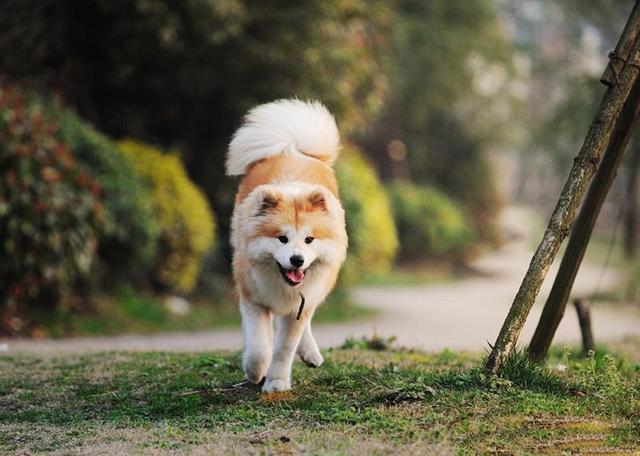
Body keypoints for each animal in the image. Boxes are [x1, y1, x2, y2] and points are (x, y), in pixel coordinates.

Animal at [226, 98, 348, 390]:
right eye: (281, 238)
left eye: (309, 240)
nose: (297, 260)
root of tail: (292, 147)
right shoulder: (253, 298)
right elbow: (260, 347)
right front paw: (256, 372)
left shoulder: (299, 306)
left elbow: (284, 348)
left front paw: (277, 382)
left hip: (316, 289)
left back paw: (310, 352)